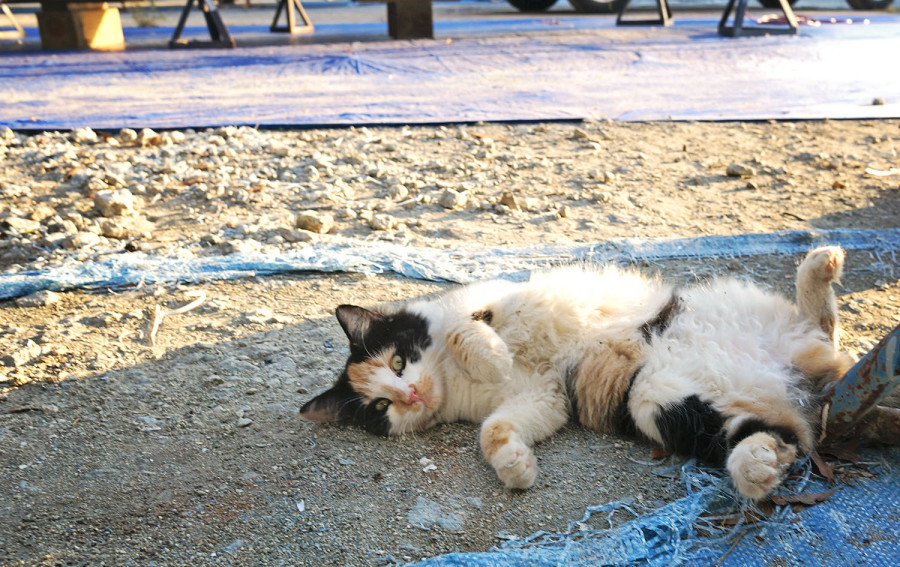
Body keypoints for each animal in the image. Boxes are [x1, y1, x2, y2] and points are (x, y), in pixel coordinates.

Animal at [300, 246, 852, 500]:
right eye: (380, 406)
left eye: (398, 361)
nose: (411, 394)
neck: (452, 379)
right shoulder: (546, 398)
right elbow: (493, 430)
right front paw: (515, 467)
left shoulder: (486, 298)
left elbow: (463, 326)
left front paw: (491, 354)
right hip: (657, 399)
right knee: (784, 433)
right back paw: (758, 466)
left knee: (823, 325)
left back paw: (819, 266)